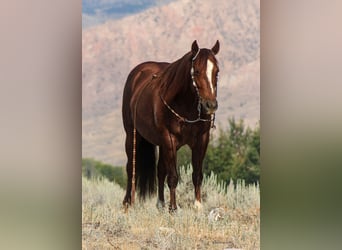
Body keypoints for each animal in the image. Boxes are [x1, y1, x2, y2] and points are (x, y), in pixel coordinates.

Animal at [121, 39, 220, 211]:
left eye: (217, 72)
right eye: (197, 71)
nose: (211, 105)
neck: (184, 106)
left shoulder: (202, 140)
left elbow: (197, 174)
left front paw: (197, 206)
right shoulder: (169, 140)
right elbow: (173, 176)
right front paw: (173, 208)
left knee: (160, 170)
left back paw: (160, 203)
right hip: (132, 135)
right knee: (130, 168)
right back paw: (128, 202)